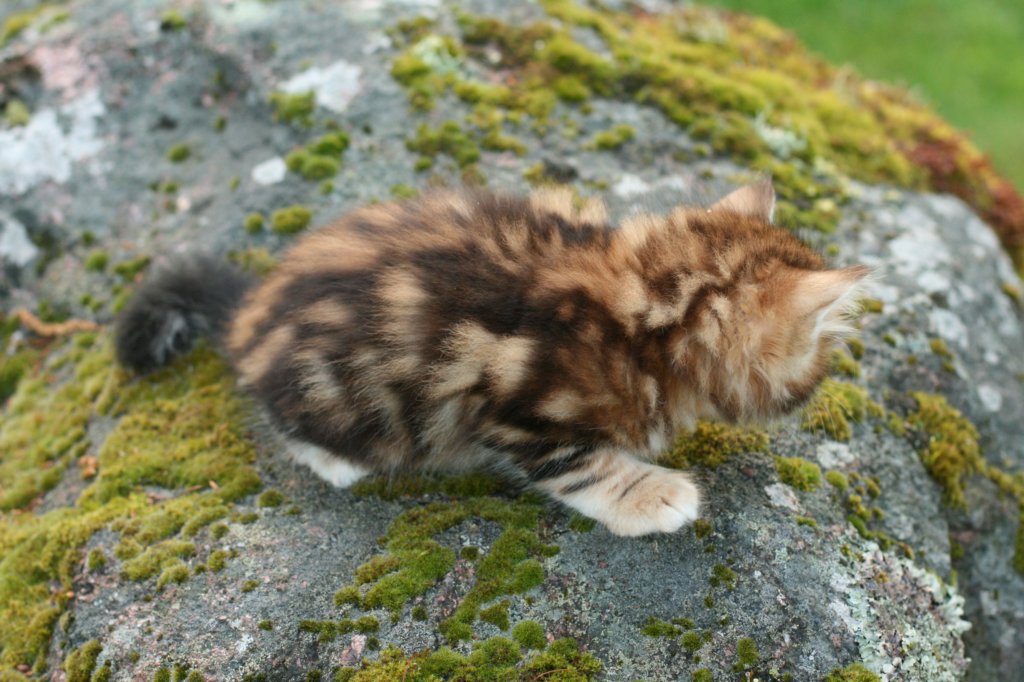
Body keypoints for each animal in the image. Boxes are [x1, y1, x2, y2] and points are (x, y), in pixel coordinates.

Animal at [115, 182, 867, 536]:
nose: (826, 393)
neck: (644, 302)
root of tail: (250, 314)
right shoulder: (513, 406)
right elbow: (579, 464)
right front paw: (651, 494)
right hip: (337, 393)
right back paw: (337, 461)